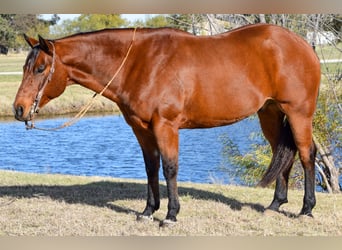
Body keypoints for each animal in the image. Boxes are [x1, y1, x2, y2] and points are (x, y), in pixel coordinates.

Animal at [11, 23, 320, 227]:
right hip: (270, 113)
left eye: (40, 69)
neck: (141, 63)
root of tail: (305, 45)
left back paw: (306, 209)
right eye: (24, 67)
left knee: (307, 155)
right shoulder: (141, 129)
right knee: (285, 154)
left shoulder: (166, 127)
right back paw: (275, 204)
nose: (19, 109)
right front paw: (148, 211)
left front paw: (171, 215)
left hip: (299, 114)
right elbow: (151, 168)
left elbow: (170, 168)